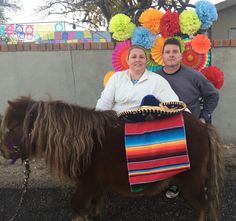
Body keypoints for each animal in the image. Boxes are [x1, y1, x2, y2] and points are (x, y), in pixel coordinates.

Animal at [0, 96, 223, 221]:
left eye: (11, 128)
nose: (3, 152)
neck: (85, 143)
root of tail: (203, 126)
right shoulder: (96, 188)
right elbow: (94, 213)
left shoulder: (87, 185)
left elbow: (78, 208)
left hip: (192, 179)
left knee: (200, 206)